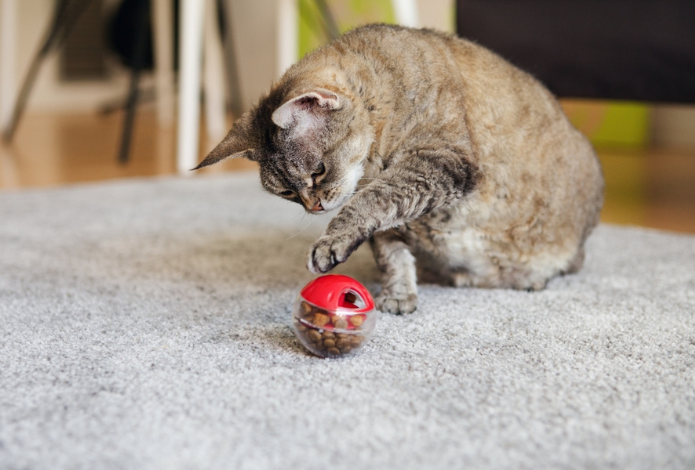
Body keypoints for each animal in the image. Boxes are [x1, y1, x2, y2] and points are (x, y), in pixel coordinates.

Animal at [194, 23, 604, 314]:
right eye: (287, 192)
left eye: (318, 171)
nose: (314, 206)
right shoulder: (395, 217)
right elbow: (390, 252)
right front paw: (399, 294)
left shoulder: (440, 161)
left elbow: (370, 203)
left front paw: (331, 242)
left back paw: (530, 278)